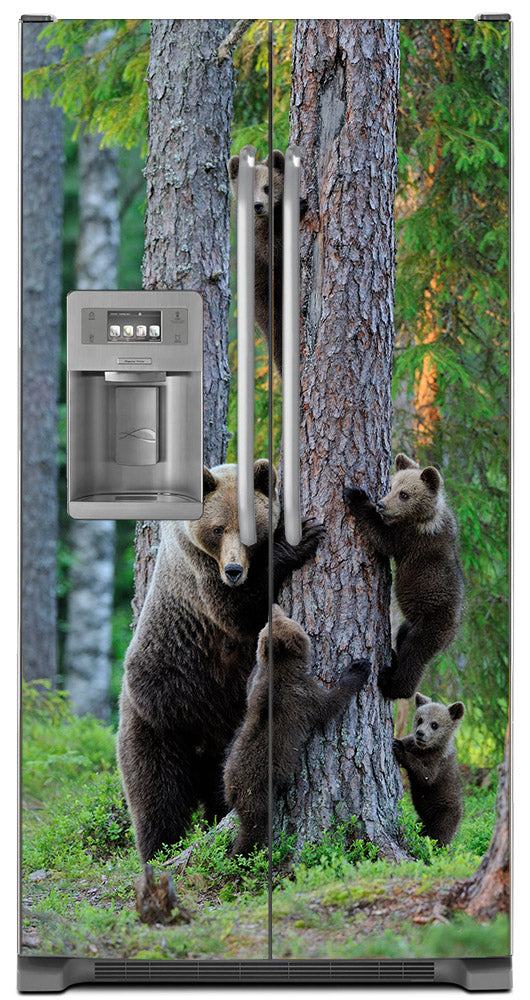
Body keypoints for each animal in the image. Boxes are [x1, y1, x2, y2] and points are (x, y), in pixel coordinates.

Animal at [117, 461, 324, 863]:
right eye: (217, 529)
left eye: (250, 527)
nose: (233, 570)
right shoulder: (198, 572)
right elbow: (236, 611)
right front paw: (298, 541)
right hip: (158, 717)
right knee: (156, 797)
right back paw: (158, 851)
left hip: (225, 740)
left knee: (217, 793)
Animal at [223, 604, 371, 857]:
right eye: (292, 620)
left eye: (278, 617)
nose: (275, 606)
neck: (281, 668)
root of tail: (232, 791)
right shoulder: (303, 697)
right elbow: (331, 704)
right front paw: (357, 669)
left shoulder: (256, 688)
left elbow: (250, 685)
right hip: (258, 794)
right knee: (254, 829)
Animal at [227, 148, 308, 376]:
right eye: (248, 189)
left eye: (267, 187)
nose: (258, 206)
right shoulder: (260, 245)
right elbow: (275, 250)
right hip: (263, 298)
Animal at [343, 453, 464, 701]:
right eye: (392, 486)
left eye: (405, 494)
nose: (381, 503)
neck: (425, 517)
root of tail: (454, 630)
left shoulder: (410, 539)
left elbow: (383, 538)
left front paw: (356, 496)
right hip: (411, 623)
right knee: (402, 637)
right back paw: (392, 657)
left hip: (432, 623)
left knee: (415, 655)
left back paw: (393, 684)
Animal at [393, 691, 465, 846]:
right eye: (420, 719)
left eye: (434, 724)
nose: (420, 733)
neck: (425, 749)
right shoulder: (412, 743)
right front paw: (397, 741)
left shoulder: (437, 762)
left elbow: (425, 776)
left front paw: (399, 749)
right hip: (422, 820)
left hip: (445, 813)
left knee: (441, 836)